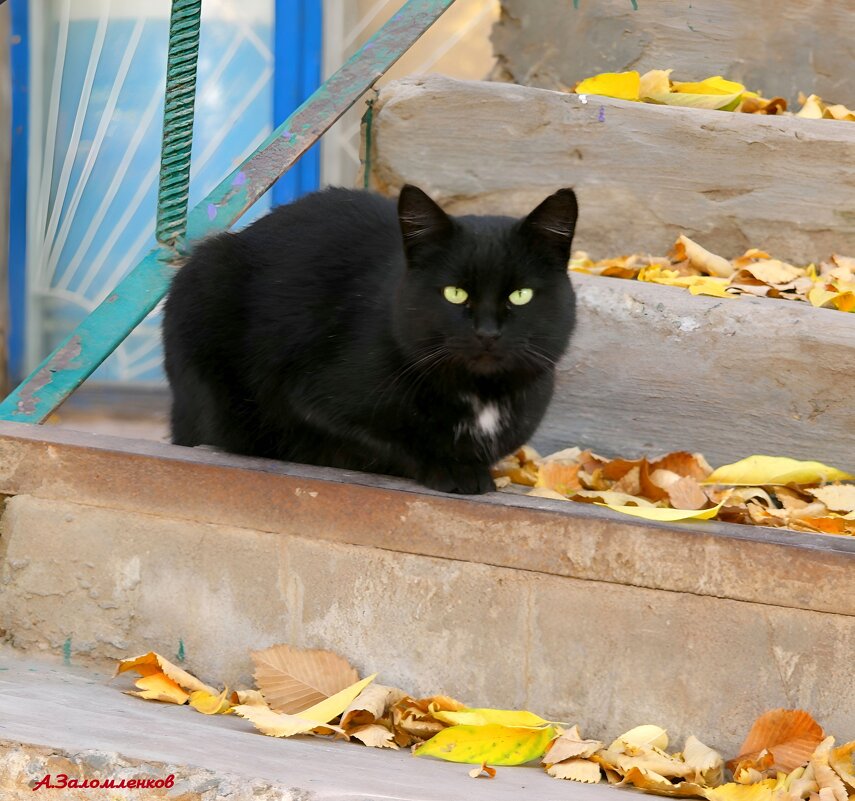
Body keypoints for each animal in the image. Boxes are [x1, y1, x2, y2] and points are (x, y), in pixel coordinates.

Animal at [162, 184, 576, 494]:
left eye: (520, 295)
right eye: (454, 293)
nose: (487, 332)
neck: (481, 396)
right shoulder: (311, 400)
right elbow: (391, 442)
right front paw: (453, 469)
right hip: (205, 276)